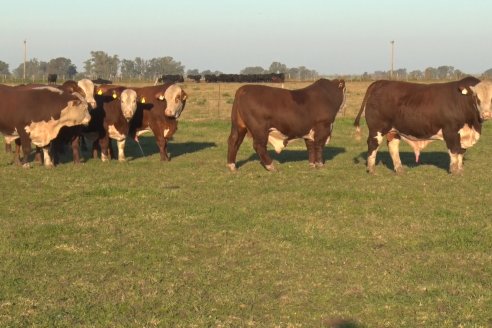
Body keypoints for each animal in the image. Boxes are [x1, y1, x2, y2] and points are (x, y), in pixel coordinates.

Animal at [354, 77, 492, 174]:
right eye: (476, 97)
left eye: (491, 98)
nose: (486, 114)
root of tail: (381, 82)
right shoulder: (451, 131)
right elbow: (454, 151)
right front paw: (454, 171)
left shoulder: (464, 134)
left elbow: (461, 152)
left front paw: (460, 169)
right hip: (376, 128)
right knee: (373, 145)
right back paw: (371, 169)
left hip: (393, 130)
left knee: (393, 146)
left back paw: (399, 169)